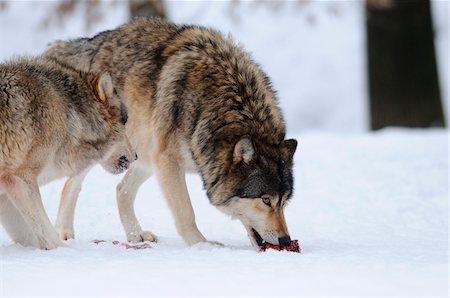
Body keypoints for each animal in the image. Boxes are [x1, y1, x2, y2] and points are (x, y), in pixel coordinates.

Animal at [0, 56, 135, 249]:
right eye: (125, 121)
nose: (137, 155)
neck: (68, 114)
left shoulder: (6, 189)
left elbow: (30, 236)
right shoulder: (22, 177)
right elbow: (46, 230)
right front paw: (65, 251)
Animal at [44, 17, 298, 248]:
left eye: (284, 202)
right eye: (265, 200)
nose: (285, 240)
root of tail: (94, 42)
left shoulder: (162, 160)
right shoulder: (169, 161)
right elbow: (186, 212)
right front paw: (202, 245)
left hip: (143, 156)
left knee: (121, 190)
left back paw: (136, 236)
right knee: (72, 184)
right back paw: (64, 232)